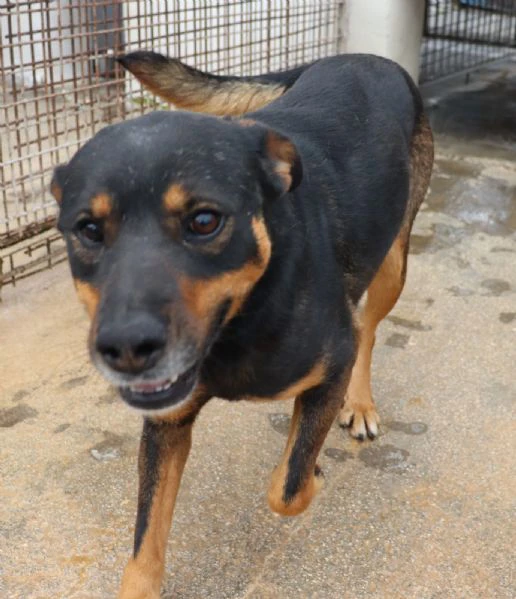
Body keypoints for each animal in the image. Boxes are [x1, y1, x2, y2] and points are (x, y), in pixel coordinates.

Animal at [51, 52, 432, 599]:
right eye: (88, 230)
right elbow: (145, 548)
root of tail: (359, 56)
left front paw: (311, 467)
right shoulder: (167, 425)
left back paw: (358, 404)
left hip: (393, 263)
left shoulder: (332, 366)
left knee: (370, 327)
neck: (237, 325)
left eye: (205, 221)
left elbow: (288, 489)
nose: (124, 349)